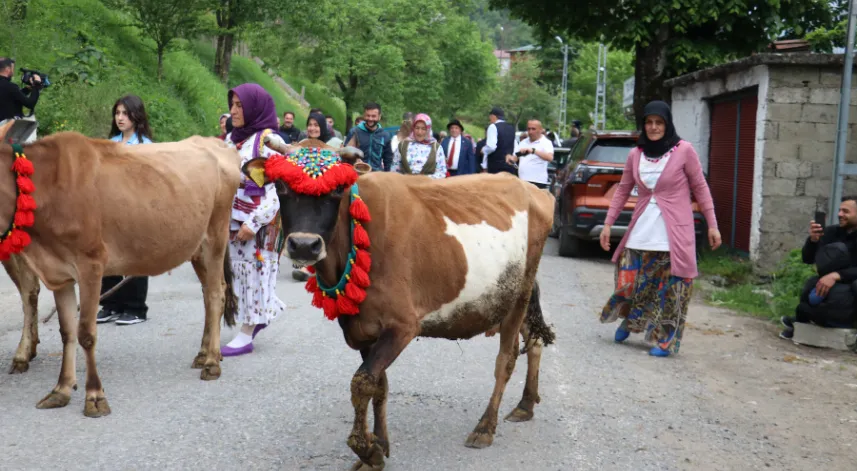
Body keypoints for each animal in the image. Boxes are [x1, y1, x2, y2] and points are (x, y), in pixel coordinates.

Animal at [0, 131, 240, 417]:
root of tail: (215, 142)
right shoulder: (59, 272)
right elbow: (67, 332)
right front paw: (61, 390)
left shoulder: (91, 265)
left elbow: (86, 333)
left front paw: (94, 397)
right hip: (196, 249)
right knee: (209, 293)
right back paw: (204, 353)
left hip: (216, 237)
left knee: (216, 295)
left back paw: (212, 362)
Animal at [247, 138, 556, 471]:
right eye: (281, 185)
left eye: (338, 189)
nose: (304, 245)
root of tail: (533, 189)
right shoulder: (362, 329)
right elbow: (378, 386)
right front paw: (380, 444)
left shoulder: (403, 326)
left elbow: (362, 382)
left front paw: (368, 450)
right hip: (506, 298)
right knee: (534, 340)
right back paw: (526, 404)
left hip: (519, 295)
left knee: (506, 359)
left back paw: (485, 427)